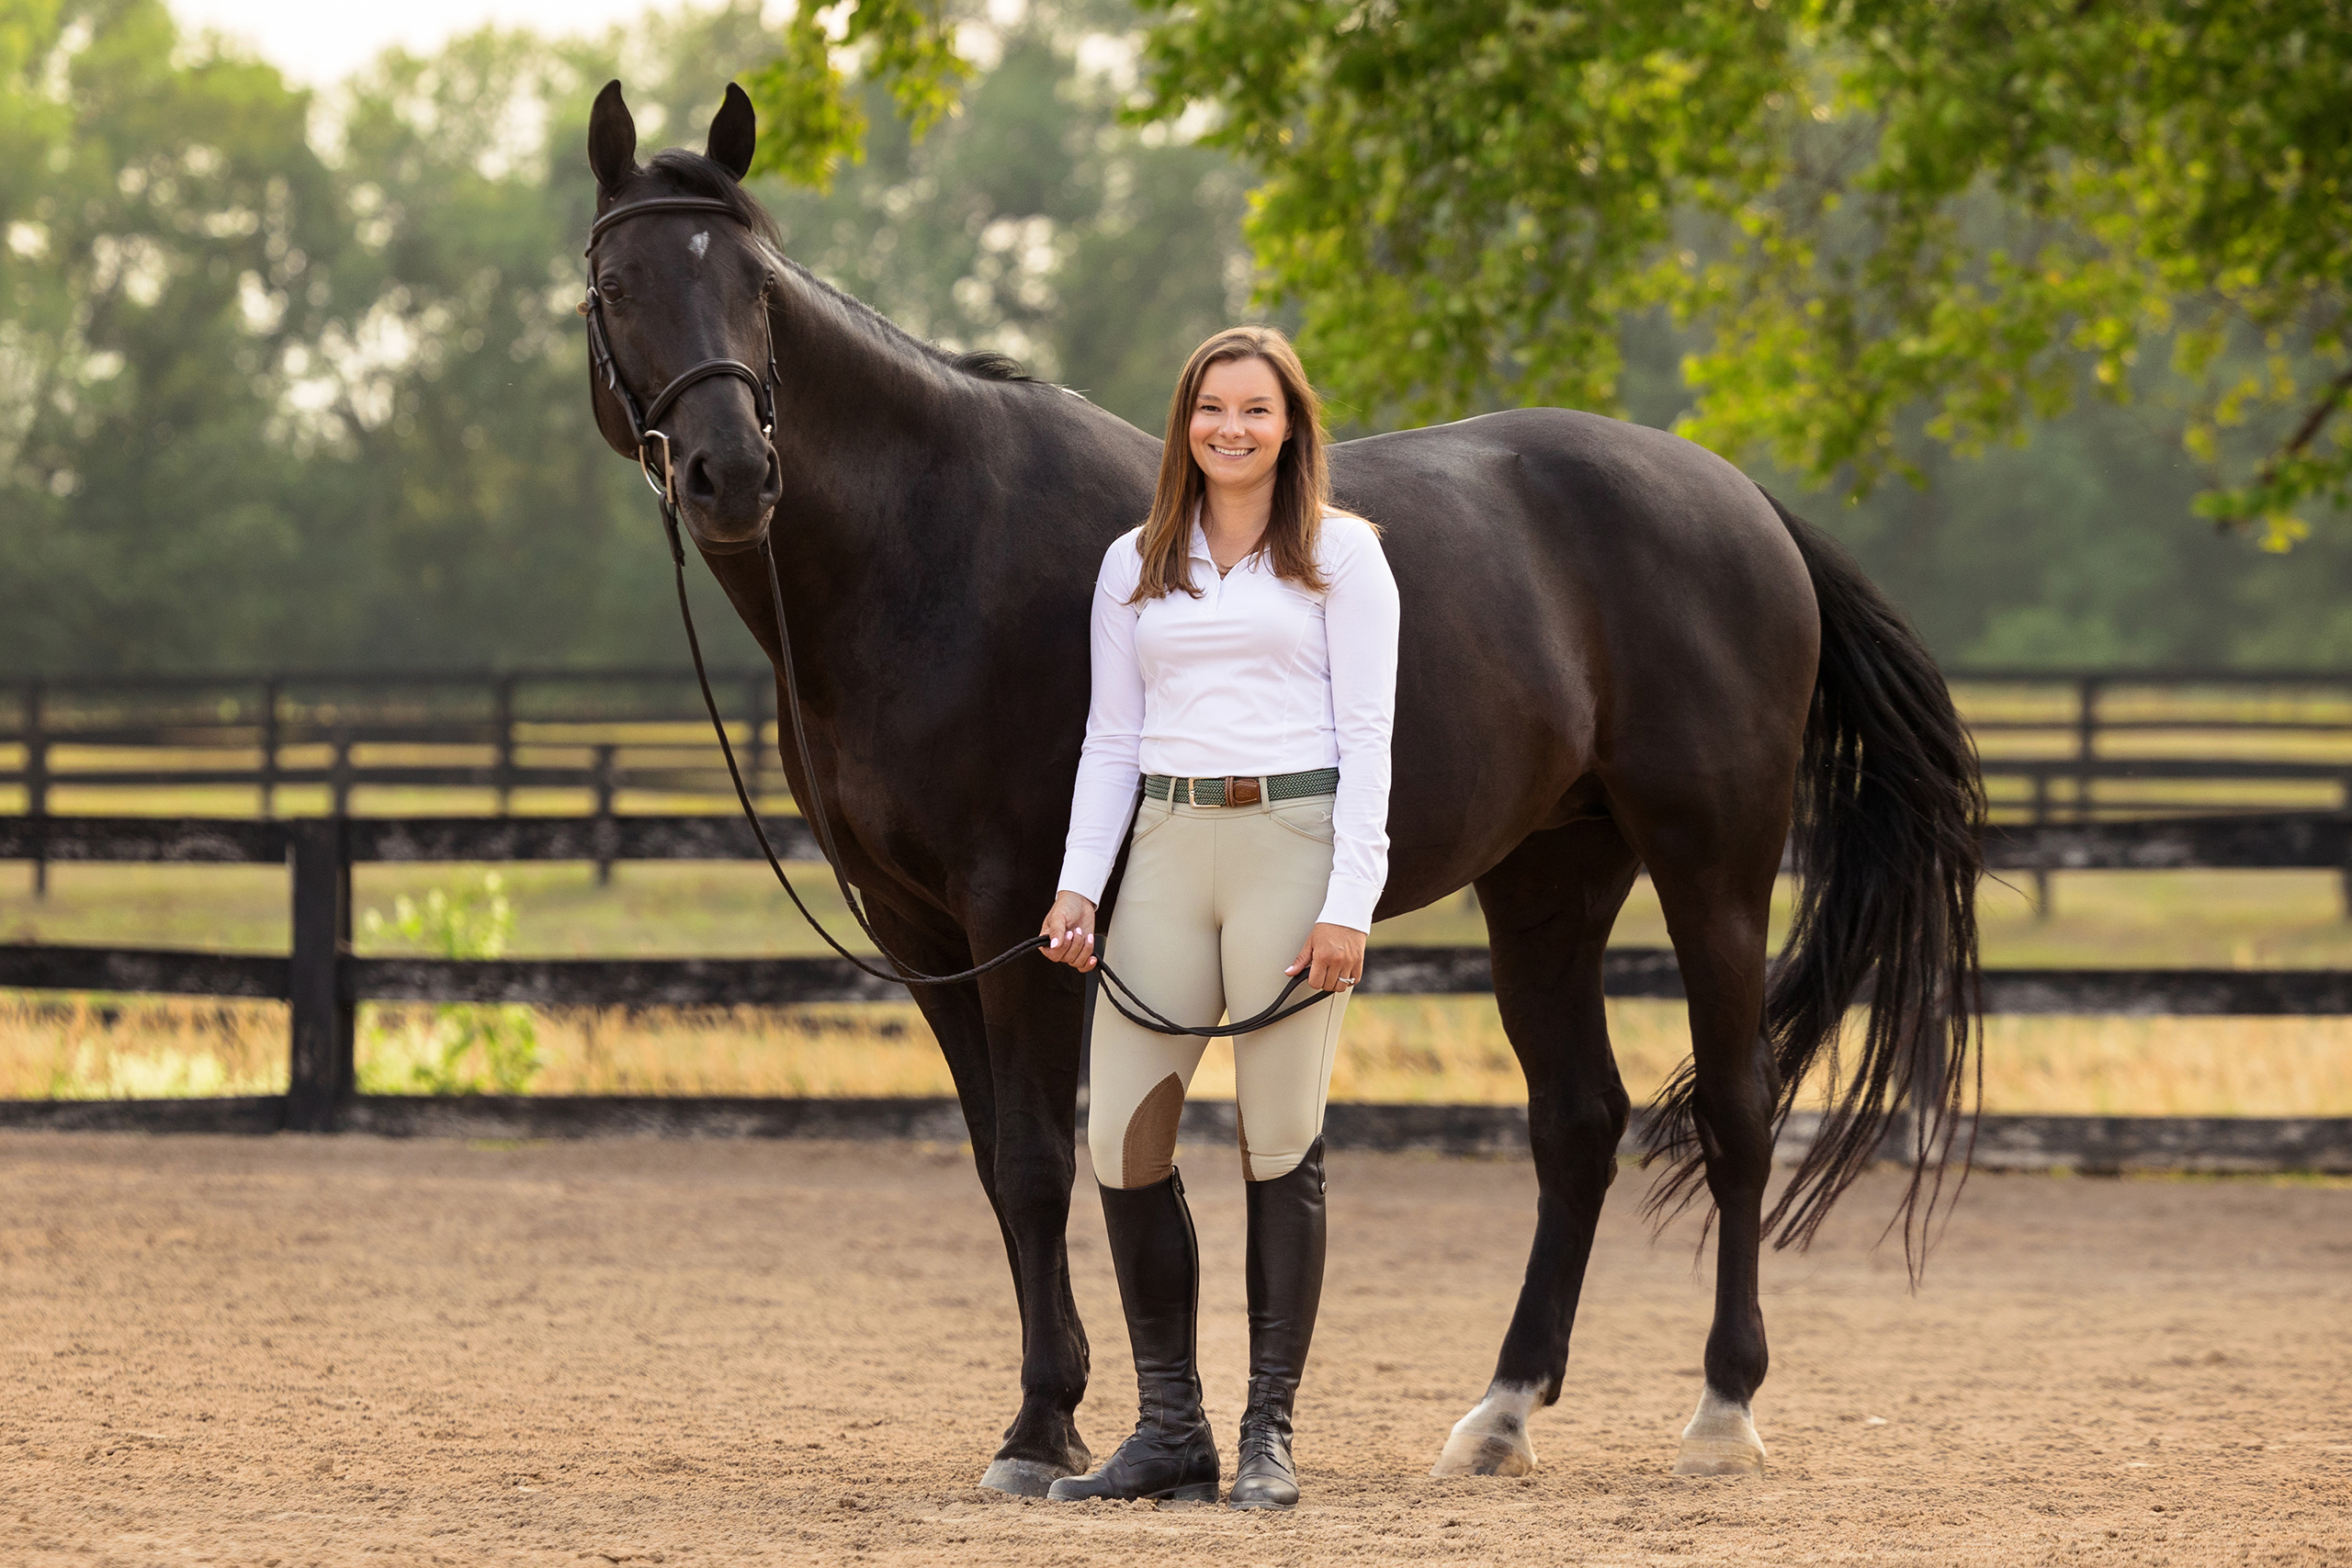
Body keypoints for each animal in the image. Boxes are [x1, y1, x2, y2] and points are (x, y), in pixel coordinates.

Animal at [577, 80, 1984, 1494]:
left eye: (755, 286)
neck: (928, 549)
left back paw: (1722, 1410)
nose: (730, 476)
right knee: (1578, 1123)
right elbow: (997, 1165)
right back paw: (1500, 1413)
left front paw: (1037, 1427)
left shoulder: (1017, 910)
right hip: (1551, 878)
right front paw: (1057, 1419)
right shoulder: (919, 930)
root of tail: (1744, 501)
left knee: (1739, 1110)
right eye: (617, 286)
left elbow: (1036, 1163)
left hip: (1714, 861)